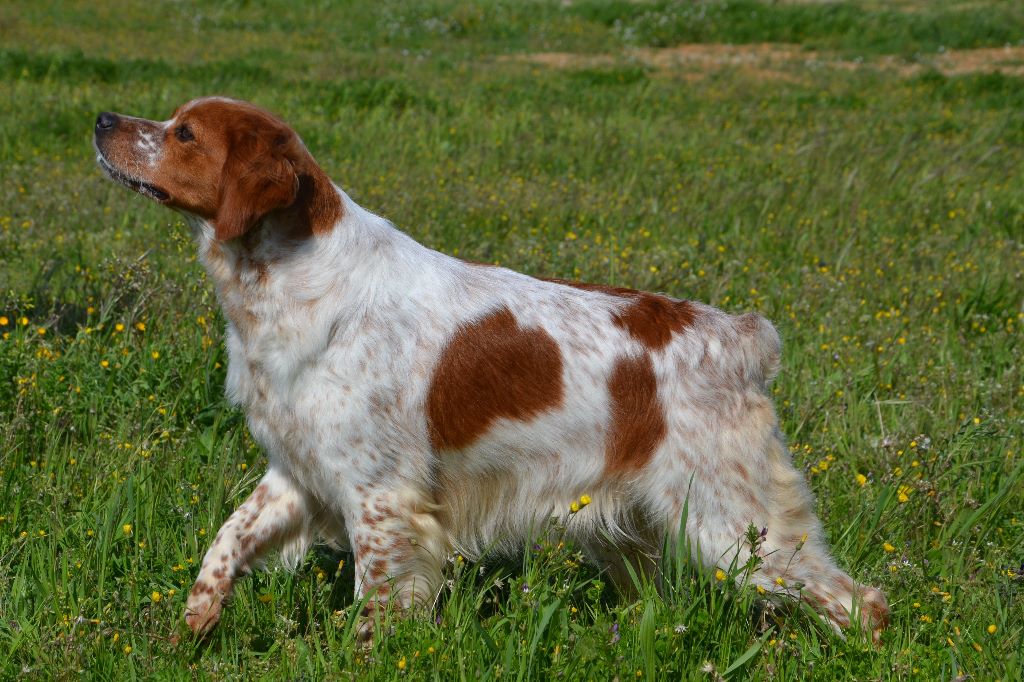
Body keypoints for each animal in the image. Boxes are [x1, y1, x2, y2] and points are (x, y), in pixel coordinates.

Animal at [92, 96, 884, 643]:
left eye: (185, 134)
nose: (101, 118)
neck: (288, 277)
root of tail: (743, 338)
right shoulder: (299, 472)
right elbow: (223, 545)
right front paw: (190, 631)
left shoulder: (382, 496)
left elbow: (376, 608)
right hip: (635, 532)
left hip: (734, 524)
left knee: (860, 602)